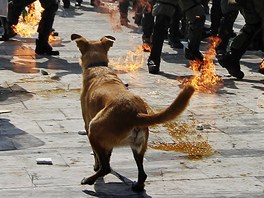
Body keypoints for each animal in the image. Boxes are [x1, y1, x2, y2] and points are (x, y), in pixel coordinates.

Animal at [71, 34, 195, 192]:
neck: (98, 66)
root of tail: (135, 114)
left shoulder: (87, 125)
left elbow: (99, 158)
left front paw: (95, 167)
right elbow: (108, 154)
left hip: (93, 129)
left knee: (106, 167)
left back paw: (89, 180)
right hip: (138, 147)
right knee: (142, 174)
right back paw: (137, 186)